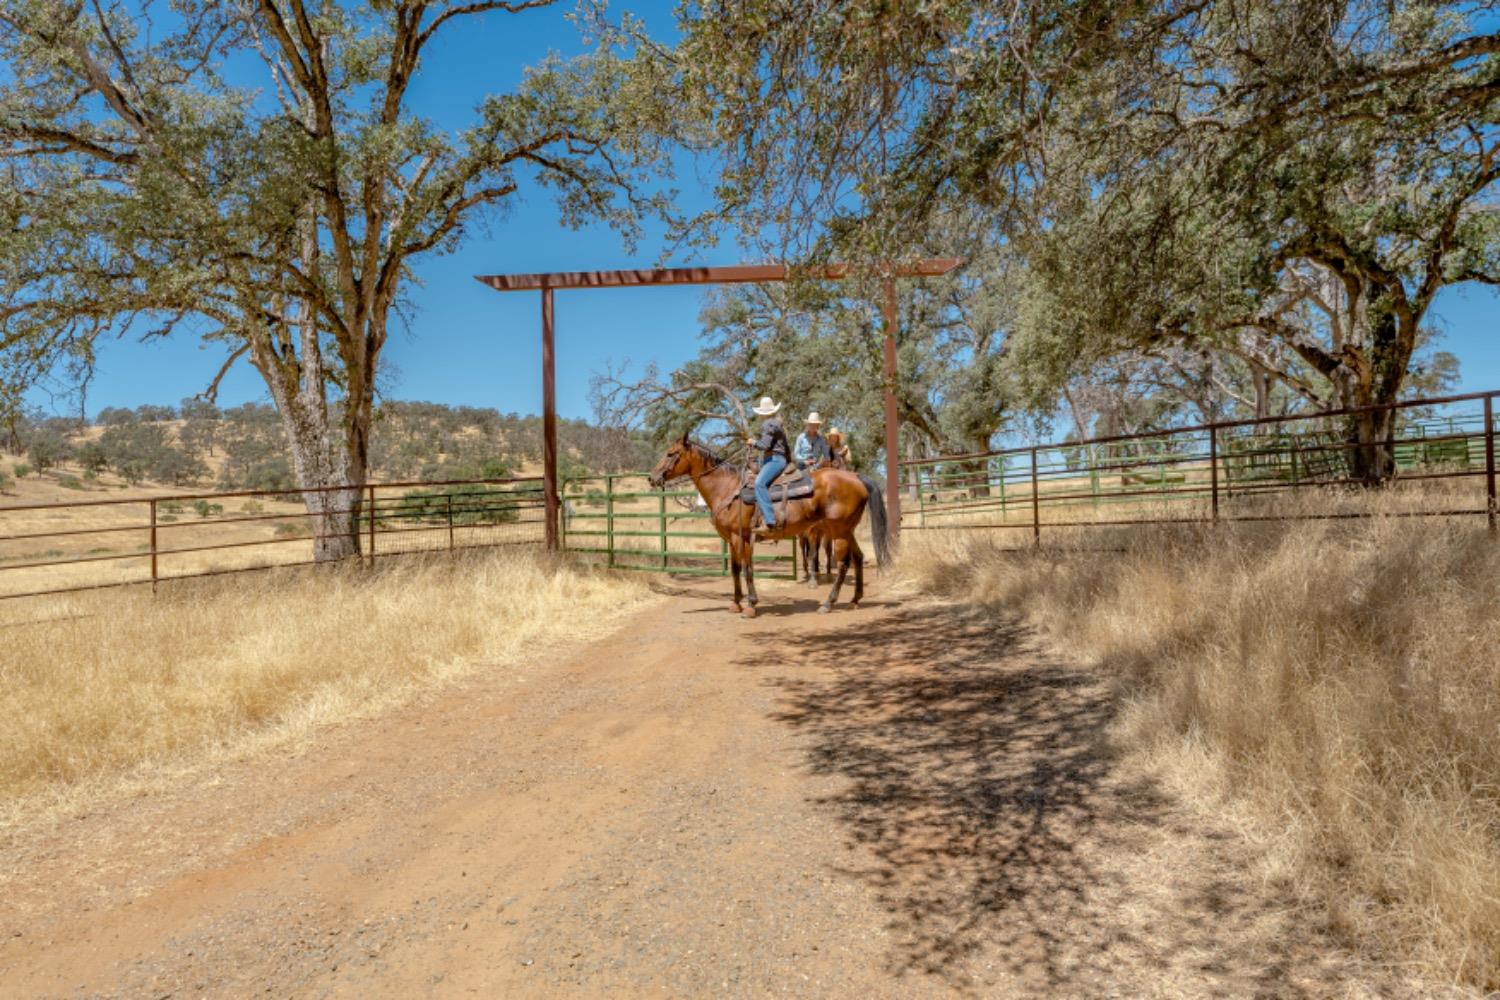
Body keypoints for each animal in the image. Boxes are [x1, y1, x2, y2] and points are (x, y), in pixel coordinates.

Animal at [648, 437, 888, 617]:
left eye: (670, 454)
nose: (652, 477)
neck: (728, 488)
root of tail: (856, 478)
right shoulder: (732, 539)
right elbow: (735, 569)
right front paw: (736, 603)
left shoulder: (741, 537)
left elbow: (746, 569)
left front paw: (751, 605)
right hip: (847, 530)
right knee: (858, 557)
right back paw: (855, 599)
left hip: (839, 531)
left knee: (844, 564)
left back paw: (829, 603)